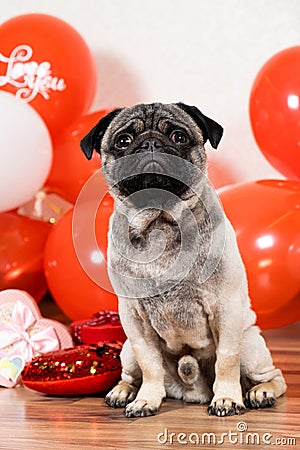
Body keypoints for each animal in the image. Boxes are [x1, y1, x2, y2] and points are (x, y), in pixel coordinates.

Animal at [80, 103, 286, 418]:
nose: (151, 143)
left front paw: (227, 398)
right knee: (133, 373)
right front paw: (146, 399)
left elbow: (226, 359)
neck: (160, 220)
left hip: (250, 345)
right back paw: (123, 391)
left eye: (179, 136)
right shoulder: (134, 319)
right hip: (126, 350)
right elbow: (150, 364)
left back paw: (259, 392)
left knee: (275, 377)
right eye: (124, 141)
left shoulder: (225, 308)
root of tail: (191, 392)